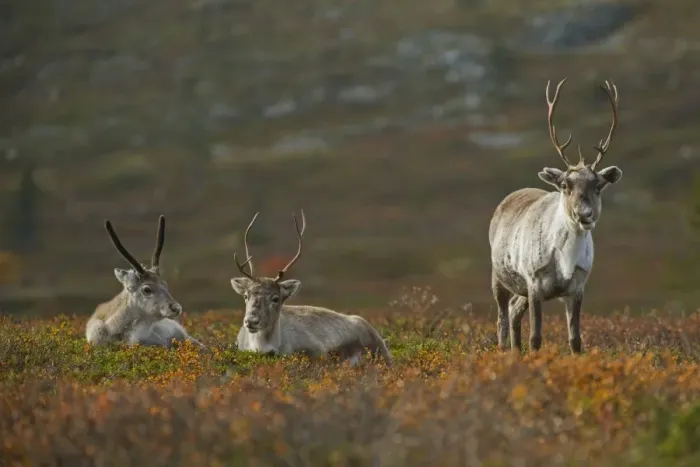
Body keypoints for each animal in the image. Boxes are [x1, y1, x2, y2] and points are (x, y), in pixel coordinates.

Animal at [489, 78, 623, 355]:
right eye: (565, 185)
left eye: (598, 186)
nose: (584, 215)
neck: (565, 260)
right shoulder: (534, 284)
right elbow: (536, 338)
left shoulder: (577, 289)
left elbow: (576, 340)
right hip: (499, 277)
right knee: (502, 319)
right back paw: (504, 353)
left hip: (521, 290)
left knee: (514, 311)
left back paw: (515, 354)